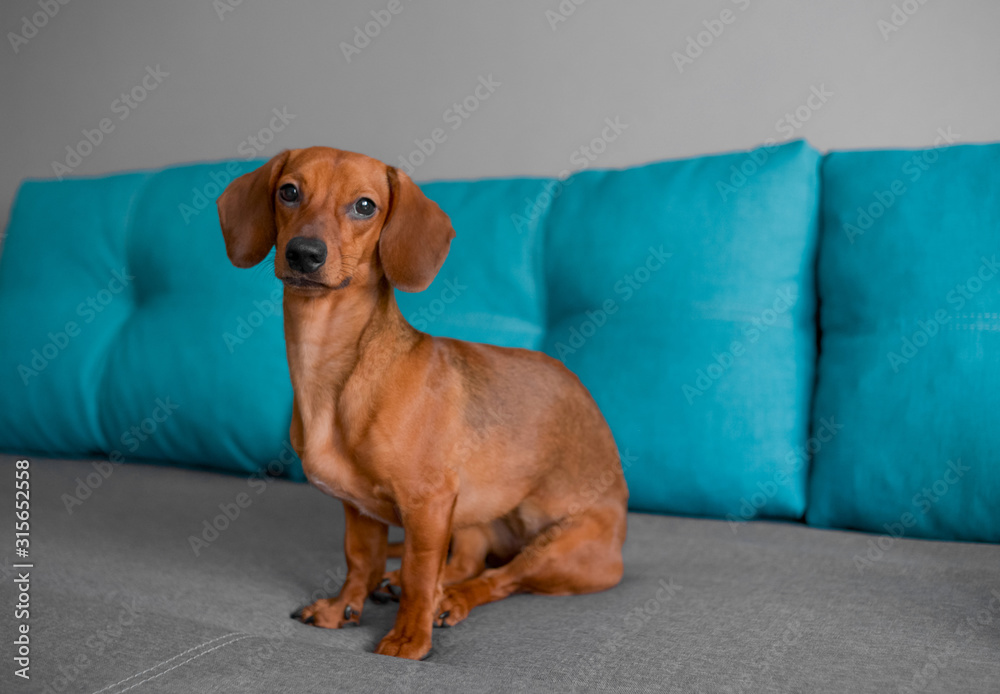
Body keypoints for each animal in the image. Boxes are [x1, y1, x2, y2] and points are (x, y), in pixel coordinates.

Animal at [217, 148, 624, 664]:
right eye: (288, 191)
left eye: (365, 206)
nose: (304, 253)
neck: (333, 369)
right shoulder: (361, 510)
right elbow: (361, 560)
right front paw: (342, 607)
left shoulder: (428, 505)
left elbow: (419, 574)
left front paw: (409, 637)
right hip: (471, 521)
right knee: (466, 562)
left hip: (559, 549)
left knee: (497, 580)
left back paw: (449, 601)